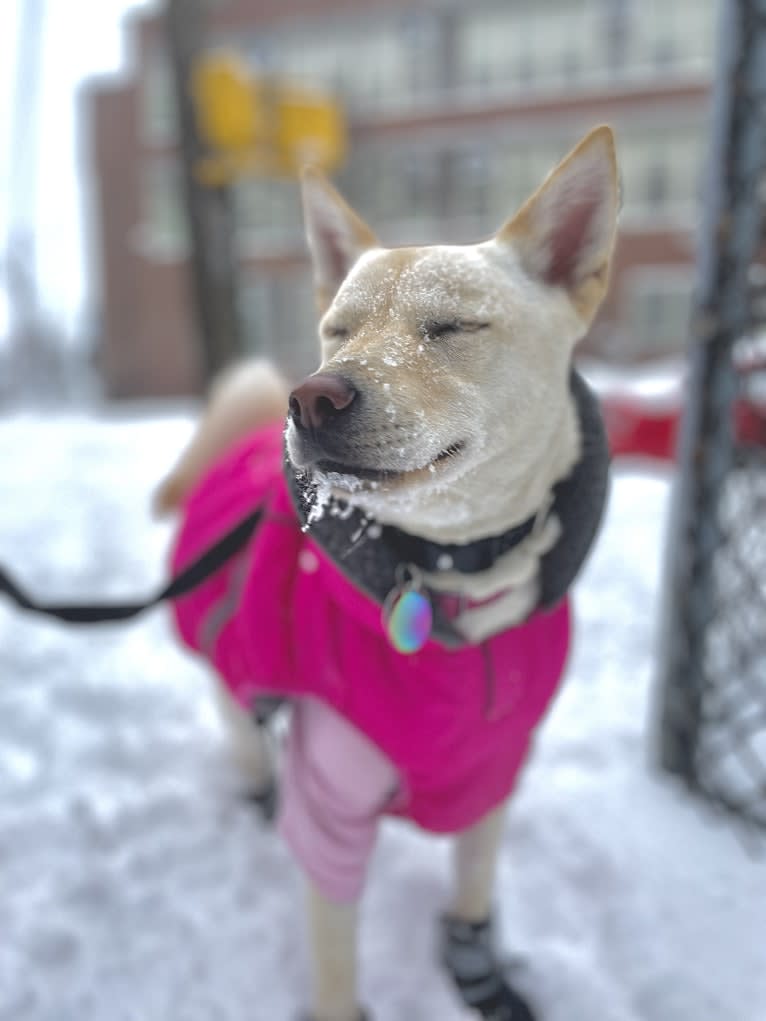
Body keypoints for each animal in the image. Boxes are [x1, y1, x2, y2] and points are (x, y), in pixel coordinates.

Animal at [156, 127, 616, 1021]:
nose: (311, 399)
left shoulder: (493, 772)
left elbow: (472, 893)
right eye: (337, 330)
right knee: (246, 728)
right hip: (233, 671)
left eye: (452, 325)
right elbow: (335, 950)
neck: (454, 580)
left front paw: (479, 974)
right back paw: (258, 791)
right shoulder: (332, 798)